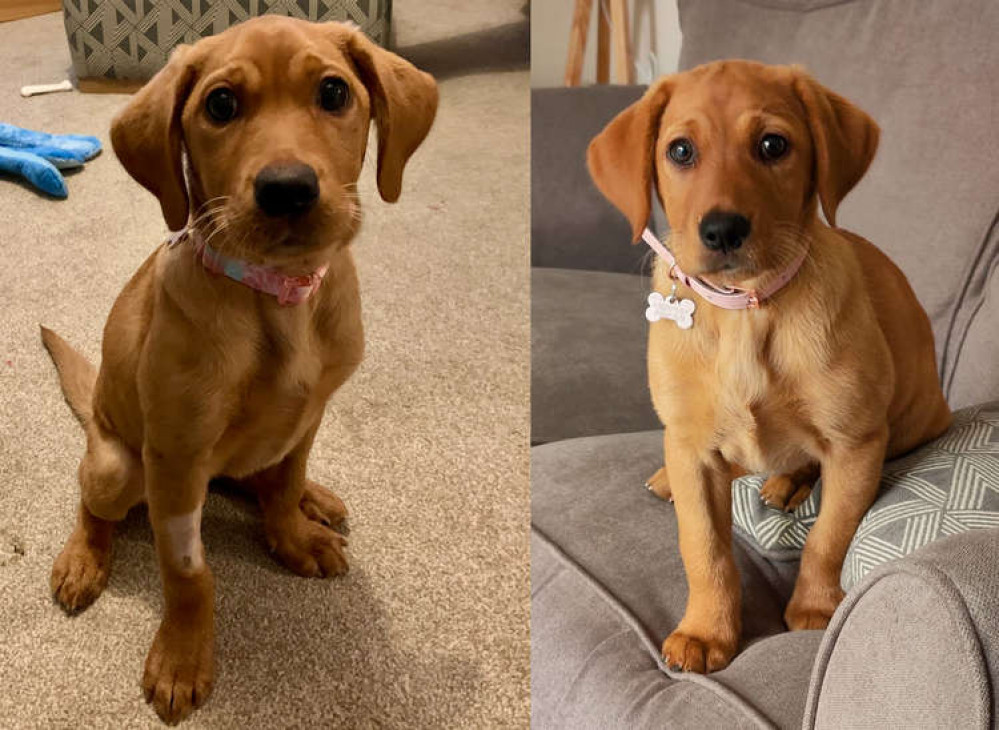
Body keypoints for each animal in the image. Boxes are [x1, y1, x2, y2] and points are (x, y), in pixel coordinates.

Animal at [40, 17, 438, 724]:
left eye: (334, 92)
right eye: (220, 105)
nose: (288, 188)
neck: (278, 297)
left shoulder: (310, 416)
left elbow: (283, 483)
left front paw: (293, 533)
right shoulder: (175, 458)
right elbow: (188, 573)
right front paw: (181, 658)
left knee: (264, 477)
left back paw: (315, 501)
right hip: (119, 468)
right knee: (93, 504)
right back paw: (83, 559)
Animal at [584, 61, 952, 672]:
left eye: (773, 145)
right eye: (680, 150)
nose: (722, 230)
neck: (747, 313)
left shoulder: (856, 442)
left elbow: (830, 535)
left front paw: (815, 606)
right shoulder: (692, 447)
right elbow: (704, 547)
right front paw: (706, 631)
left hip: (906, 426)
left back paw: (787, 482)